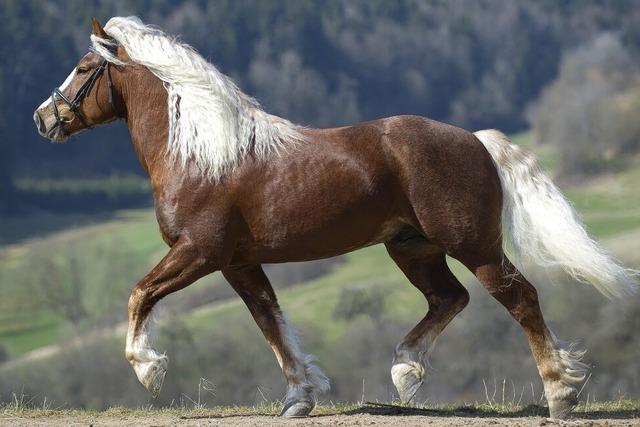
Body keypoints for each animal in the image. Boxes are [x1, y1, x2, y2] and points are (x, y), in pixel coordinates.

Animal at [33, 17, 636, 422]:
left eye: (83, 68)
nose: (44, 119)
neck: (204, 153)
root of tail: (476, 140)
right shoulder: (238, 263)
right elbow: (270, 321)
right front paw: (300, 397)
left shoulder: (199, 251)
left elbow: (140, 294)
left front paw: (148, 370)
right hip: (412, 247)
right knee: (450, 298)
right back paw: (405, 373)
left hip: (473, 244)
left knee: (520, 298)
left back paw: (560, 394)